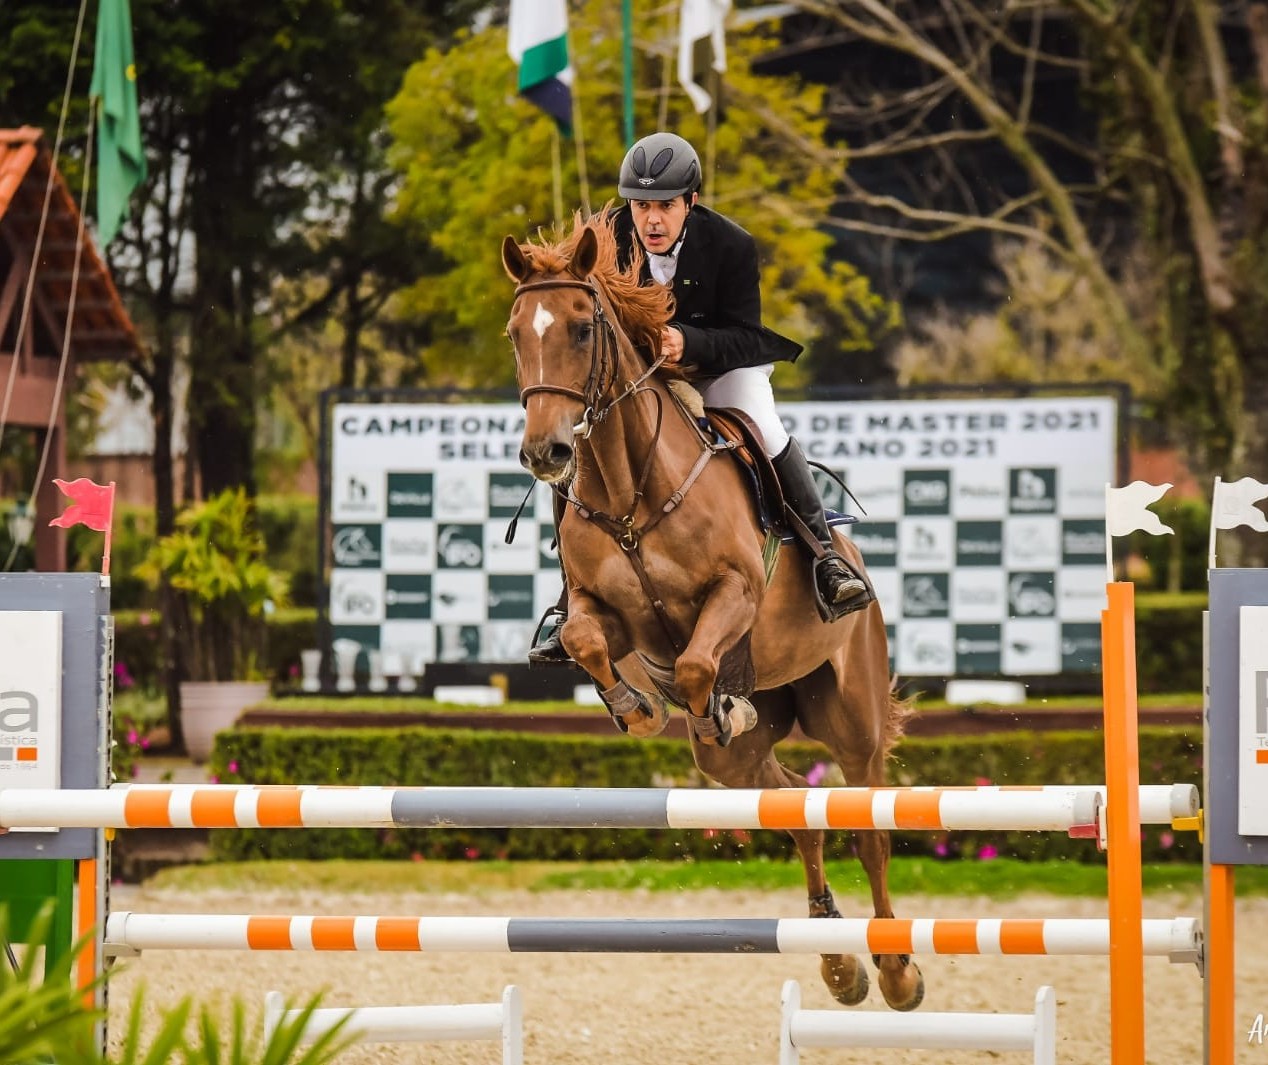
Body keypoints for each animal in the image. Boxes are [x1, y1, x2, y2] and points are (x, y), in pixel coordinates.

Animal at [499, 214, 928, 1014]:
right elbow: (583, 637)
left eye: (581, 328)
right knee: (795, 809)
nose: (546, 452)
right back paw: (838, 961)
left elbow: (698, 659)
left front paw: (704, 703)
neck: (629, 486)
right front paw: (637, 708)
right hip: (737, 760)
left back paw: (894, 969)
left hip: (850, 720)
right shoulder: (608, 616)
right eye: (516, 332)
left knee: (866, 828)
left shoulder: (734, 593)